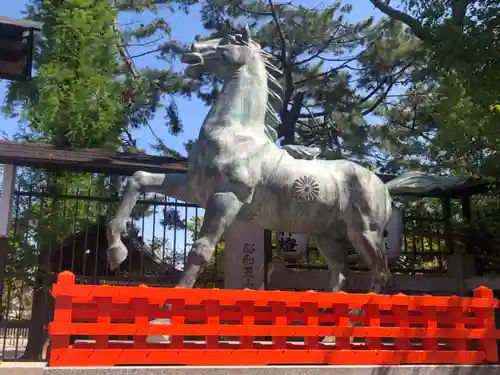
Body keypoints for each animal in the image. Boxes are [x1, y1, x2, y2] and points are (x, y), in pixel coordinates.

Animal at [106, 26, 406, 296]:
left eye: (230, 39)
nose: (191, 49)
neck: (234, 131)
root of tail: (384, 187)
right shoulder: (194, 189)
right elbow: (138, 178)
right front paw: (116, 252)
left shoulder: (227, 196)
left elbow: (200, 249)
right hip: (328, 236)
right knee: (341, 276)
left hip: (366, 232)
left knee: (382, 275)